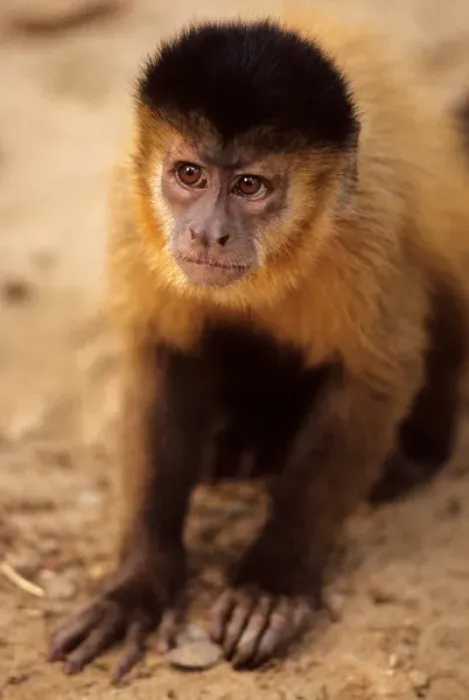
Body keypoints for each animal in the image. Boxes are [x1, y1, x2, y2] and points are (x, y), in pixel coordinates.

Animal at [48, 9, 469, 681]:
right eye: (189, 174)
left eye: (249, 186)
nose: (209, 233)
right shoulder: (132, 213)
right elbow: (162, 360)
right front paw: (139, 583)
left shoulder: (365, 227)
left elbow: (375, 378)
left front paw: (272, 584)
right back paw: (234, 450)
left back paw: (412, 457)